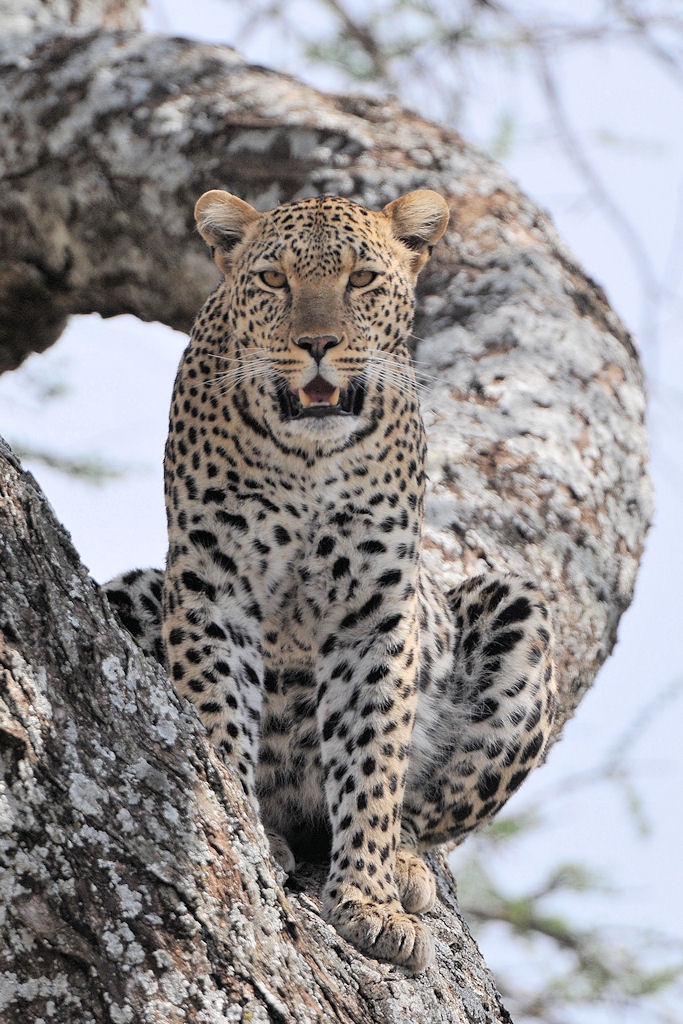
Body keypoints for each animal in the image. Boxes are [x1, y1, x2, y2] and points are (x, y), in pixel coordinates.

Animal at [104, 187, 556, 973]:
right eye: (273, 280)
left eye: (362, 280)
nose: (317, 343)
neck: (309, 460)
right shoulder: (213, 590)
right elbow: (216, 716)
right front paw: (236, 821)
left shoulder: (374, 616)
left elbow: (373, 761)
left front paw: (369, 900)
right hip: (134, 592)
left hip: (518, 613)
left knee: (426, 814)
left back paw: (404, 863)